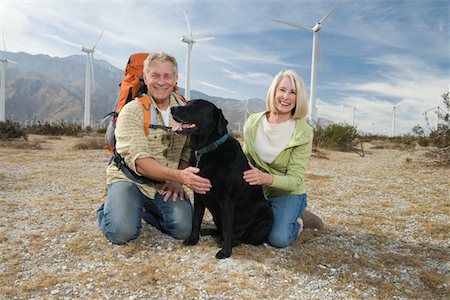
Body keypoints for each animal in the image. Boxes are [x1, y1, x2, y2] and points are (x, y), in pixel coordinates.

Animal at [171, 99, 272, 258]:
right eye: (187, 103)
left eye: (196, 106)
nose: (172, 108)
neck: (207, 149)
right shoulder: (199, 194)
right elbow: (196, 220)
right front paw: (193, 239)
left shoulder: (227, 200)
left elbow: (227, 227)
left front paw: (225, 252)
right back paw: (209, 231)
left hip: (267, 214)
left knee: (243, 238)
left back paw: (228, 241)